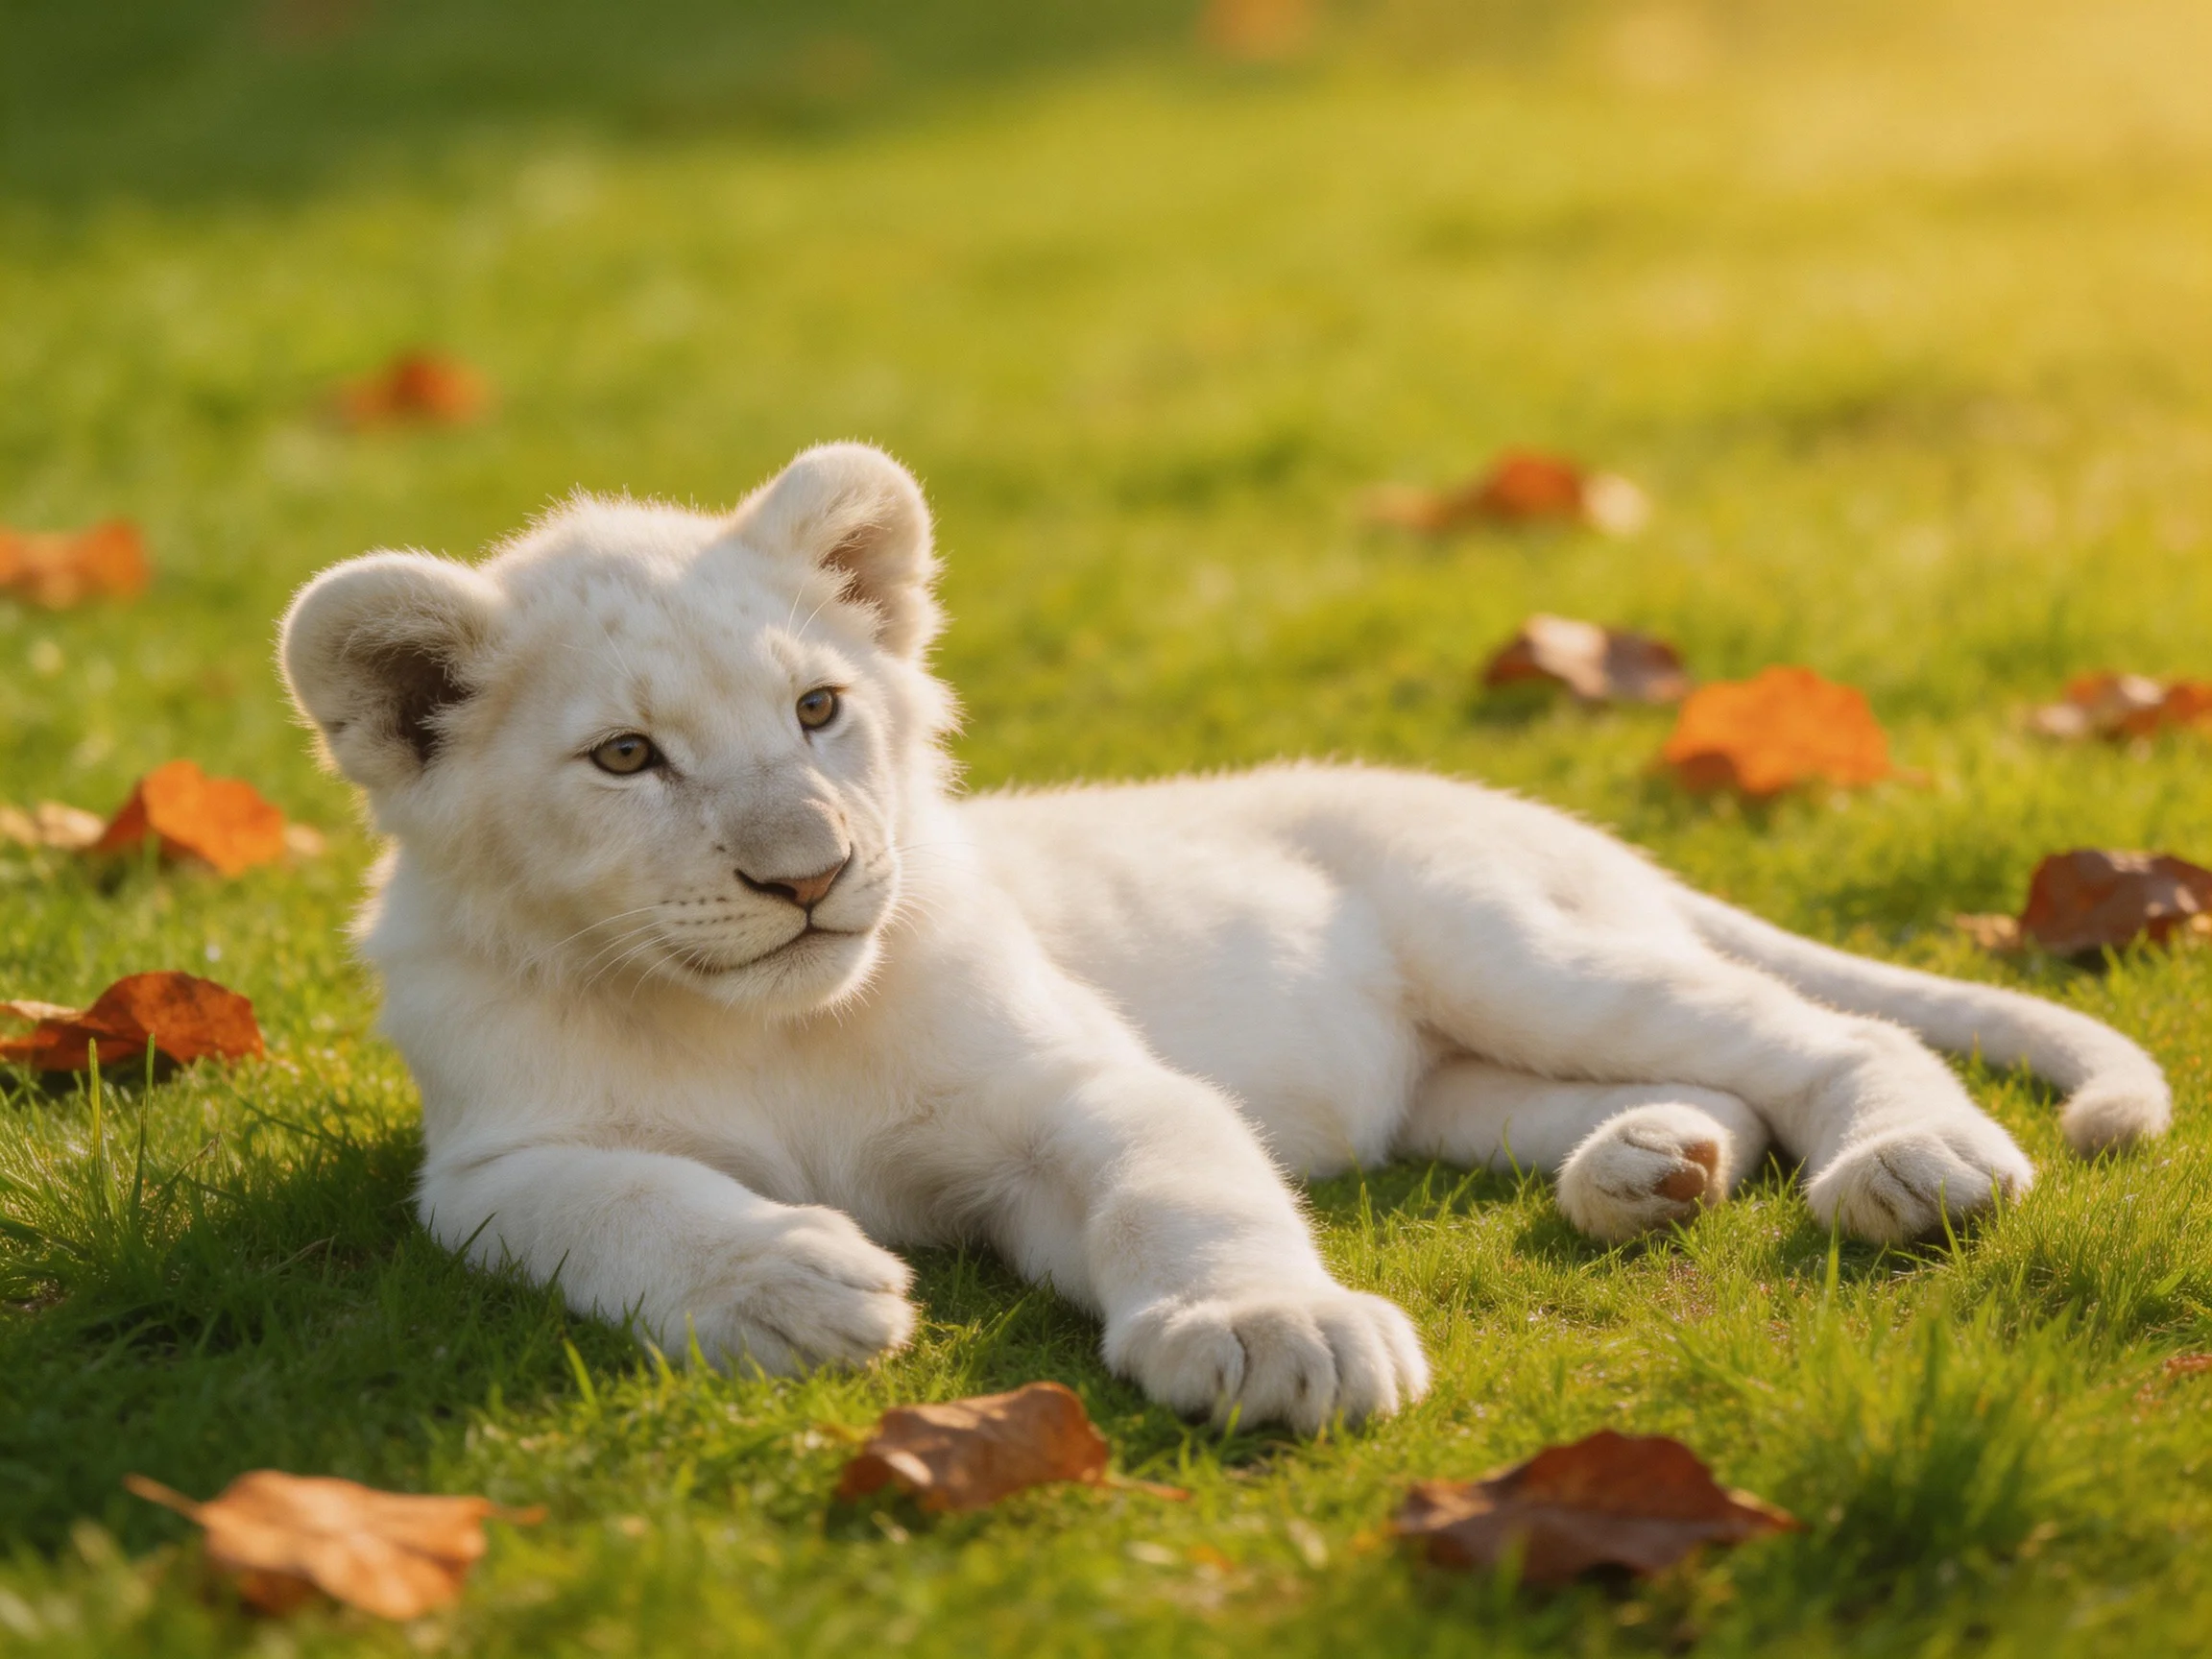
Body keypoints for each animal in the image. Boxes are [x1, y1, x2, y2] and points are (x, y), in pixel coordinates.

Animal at [280, 443, 2169, 1431]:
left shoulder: (1073, 1088)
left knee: (1825, 1038)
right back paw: (1650, 1169)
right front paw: (793, 1284)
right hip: (1458, 1081)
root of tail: (1562, 827)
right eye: (626, 760)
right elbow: (623, 1199)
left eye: (817, 709)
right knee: (1691, 1090)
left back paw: (1908, 1166)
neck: (775, 1022)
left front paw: (1277, 1338)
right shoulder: (497, 1162)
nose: (810, 876)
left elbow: (1176, 1184)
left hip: (1515, 947)